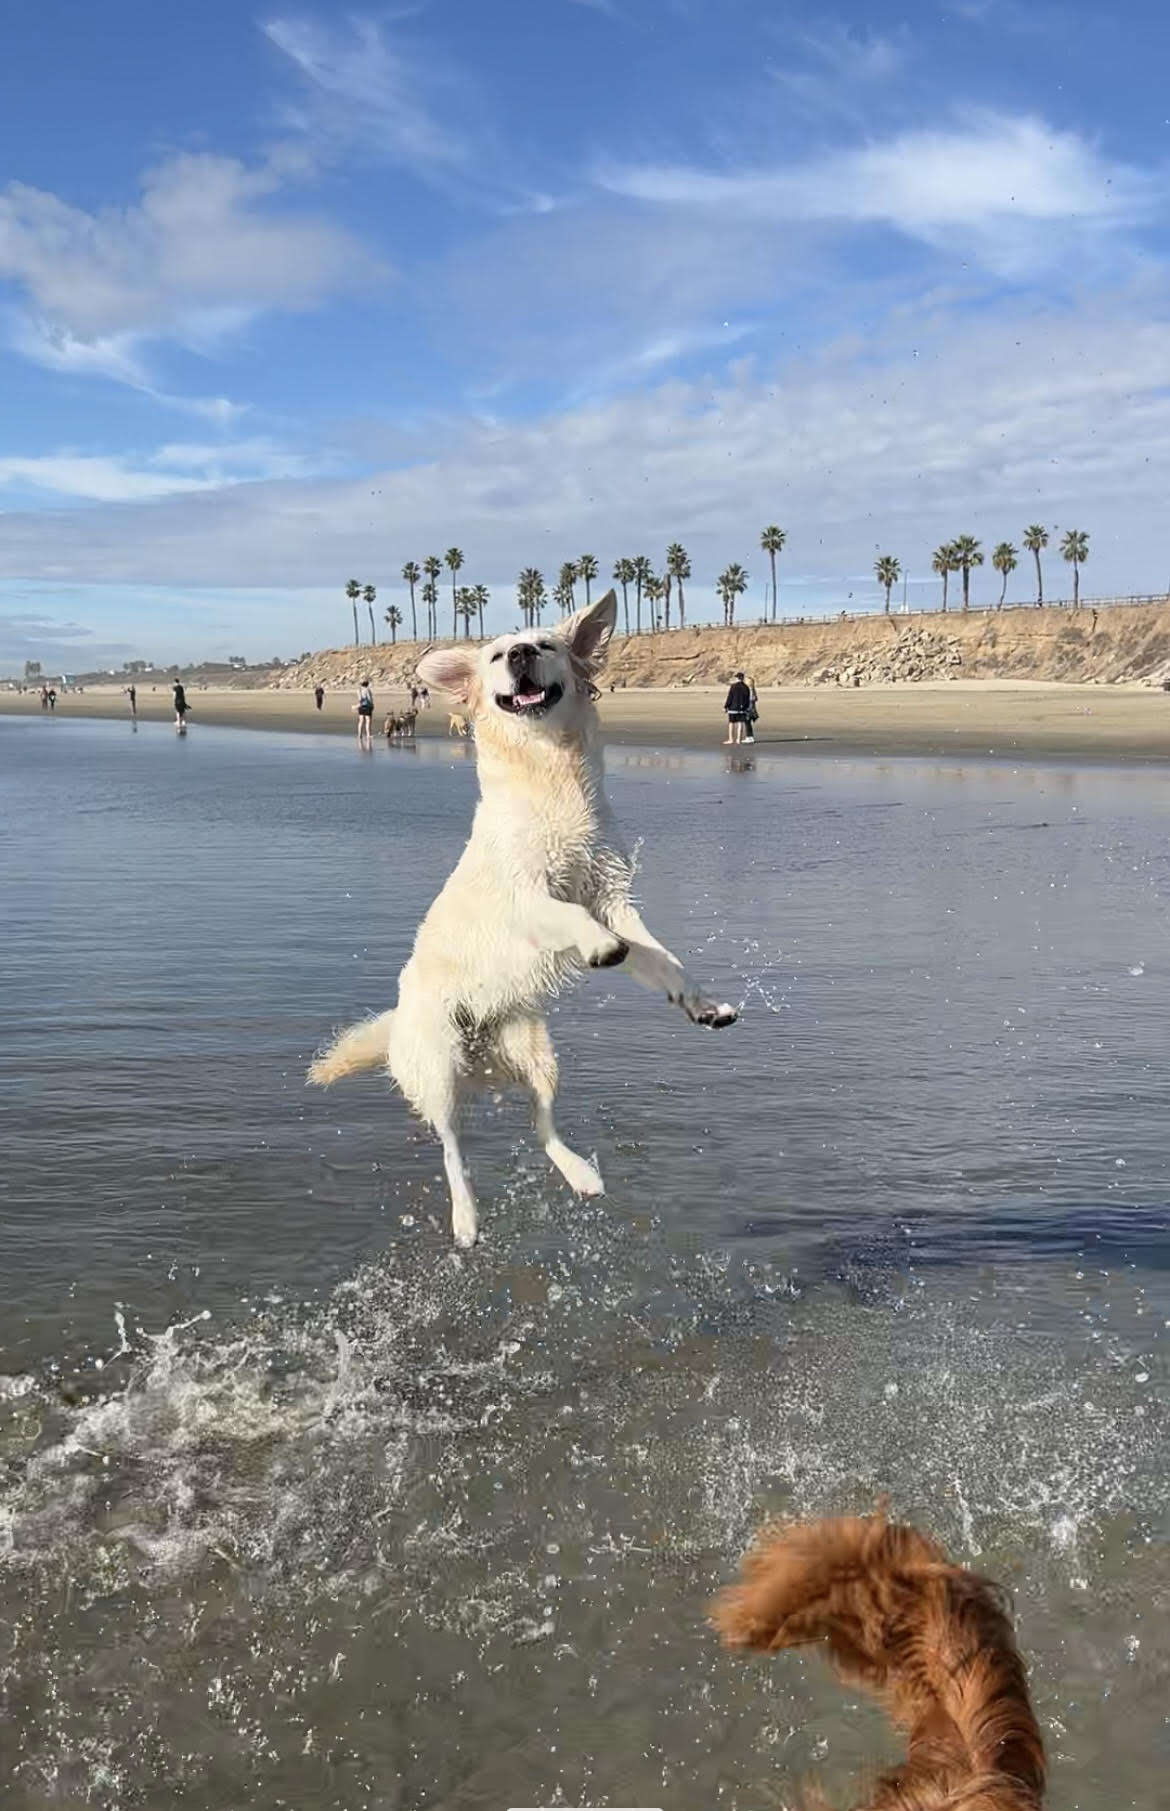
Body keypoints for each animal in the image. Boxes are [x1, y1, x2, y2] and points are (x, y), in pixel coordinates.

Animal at [309, 594, 731, 1245]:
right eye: (494, 654)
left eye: (547, 645)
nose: (522, 654)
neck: (550, 773)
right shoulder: (528, 896)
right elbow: (572, 917)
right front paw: (599, 947)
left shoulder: (613, 895)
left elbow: (662, 957)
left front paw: (702, 1003)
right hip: (438, 1066)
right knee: (451, 1146)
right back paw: (465, 1217)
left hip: (538, 1054)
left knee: (543, 1125)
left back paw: (582, 1174)